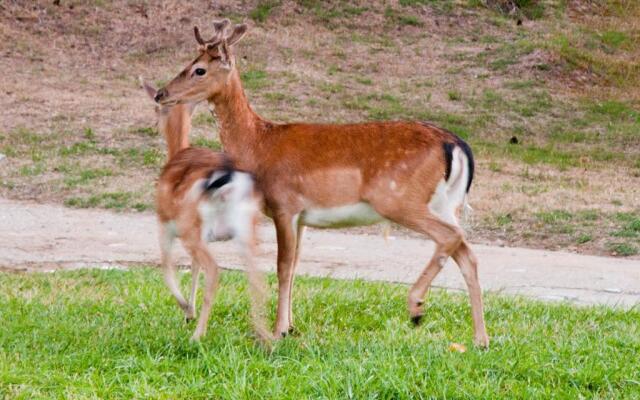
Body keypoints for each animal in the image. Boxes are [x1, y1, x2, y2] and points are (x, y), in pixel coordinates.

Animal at [141, 80, 268, 340]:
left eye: (156, 109)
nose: (152, 125)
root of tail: (226, 179)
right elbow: (193, 267)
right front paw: (189, 311)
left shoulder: (165, 223)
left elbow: (166, 265)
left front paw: (186, 308)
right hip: (246, 226)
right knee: (258, 276)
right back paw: (266, 336)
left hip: (192, 226)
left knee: (214, 270)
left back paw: (198, 335)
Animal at [154, 20, 490, 346]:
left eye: (199, 69)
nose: (160, 93)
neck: (258, 145)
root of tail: (457, 145)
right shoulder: (302, 217)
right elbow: (294, 267)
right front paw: (290, 327)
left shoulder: (284, 205)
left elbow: (282, 266)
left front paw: (278, 330)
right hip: (446, 203)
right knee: (467, 253)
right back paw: (480, 339)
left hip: (399, 199)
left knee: (451, 237)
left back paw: (417, 305)